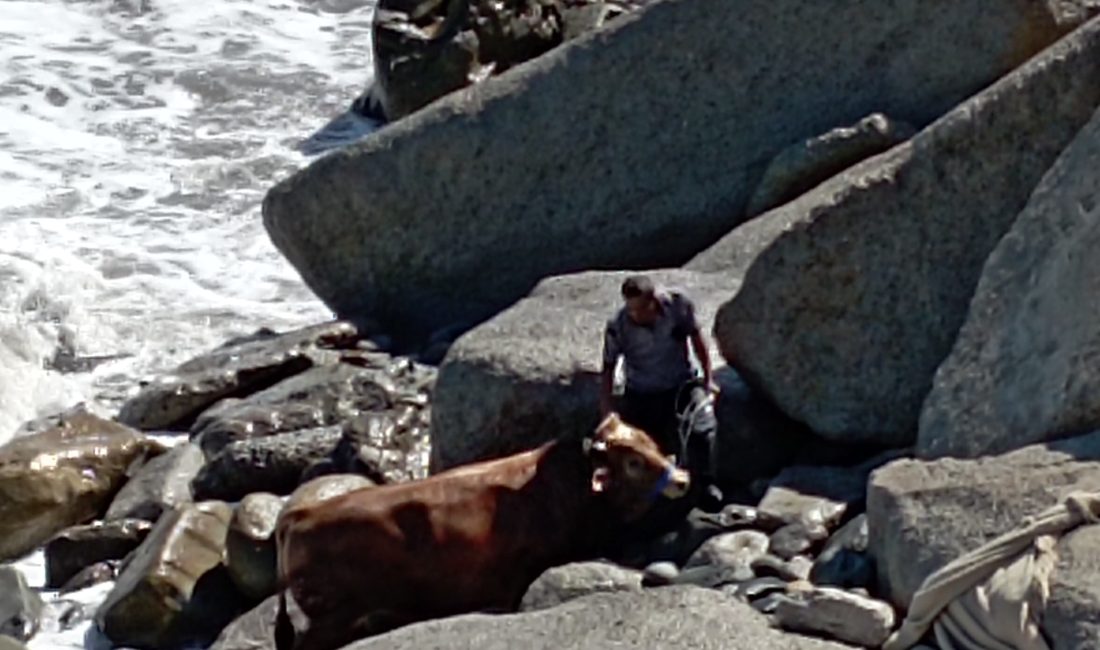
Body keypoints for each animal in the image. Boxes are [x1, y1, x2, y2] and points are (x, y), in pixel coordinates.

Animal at [275, 413, 686, 650]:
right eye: (633, 462)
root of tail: (300, 515)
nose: (682, 478)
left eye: (651, 442)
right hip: (332, 616)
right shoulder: (511, 580)